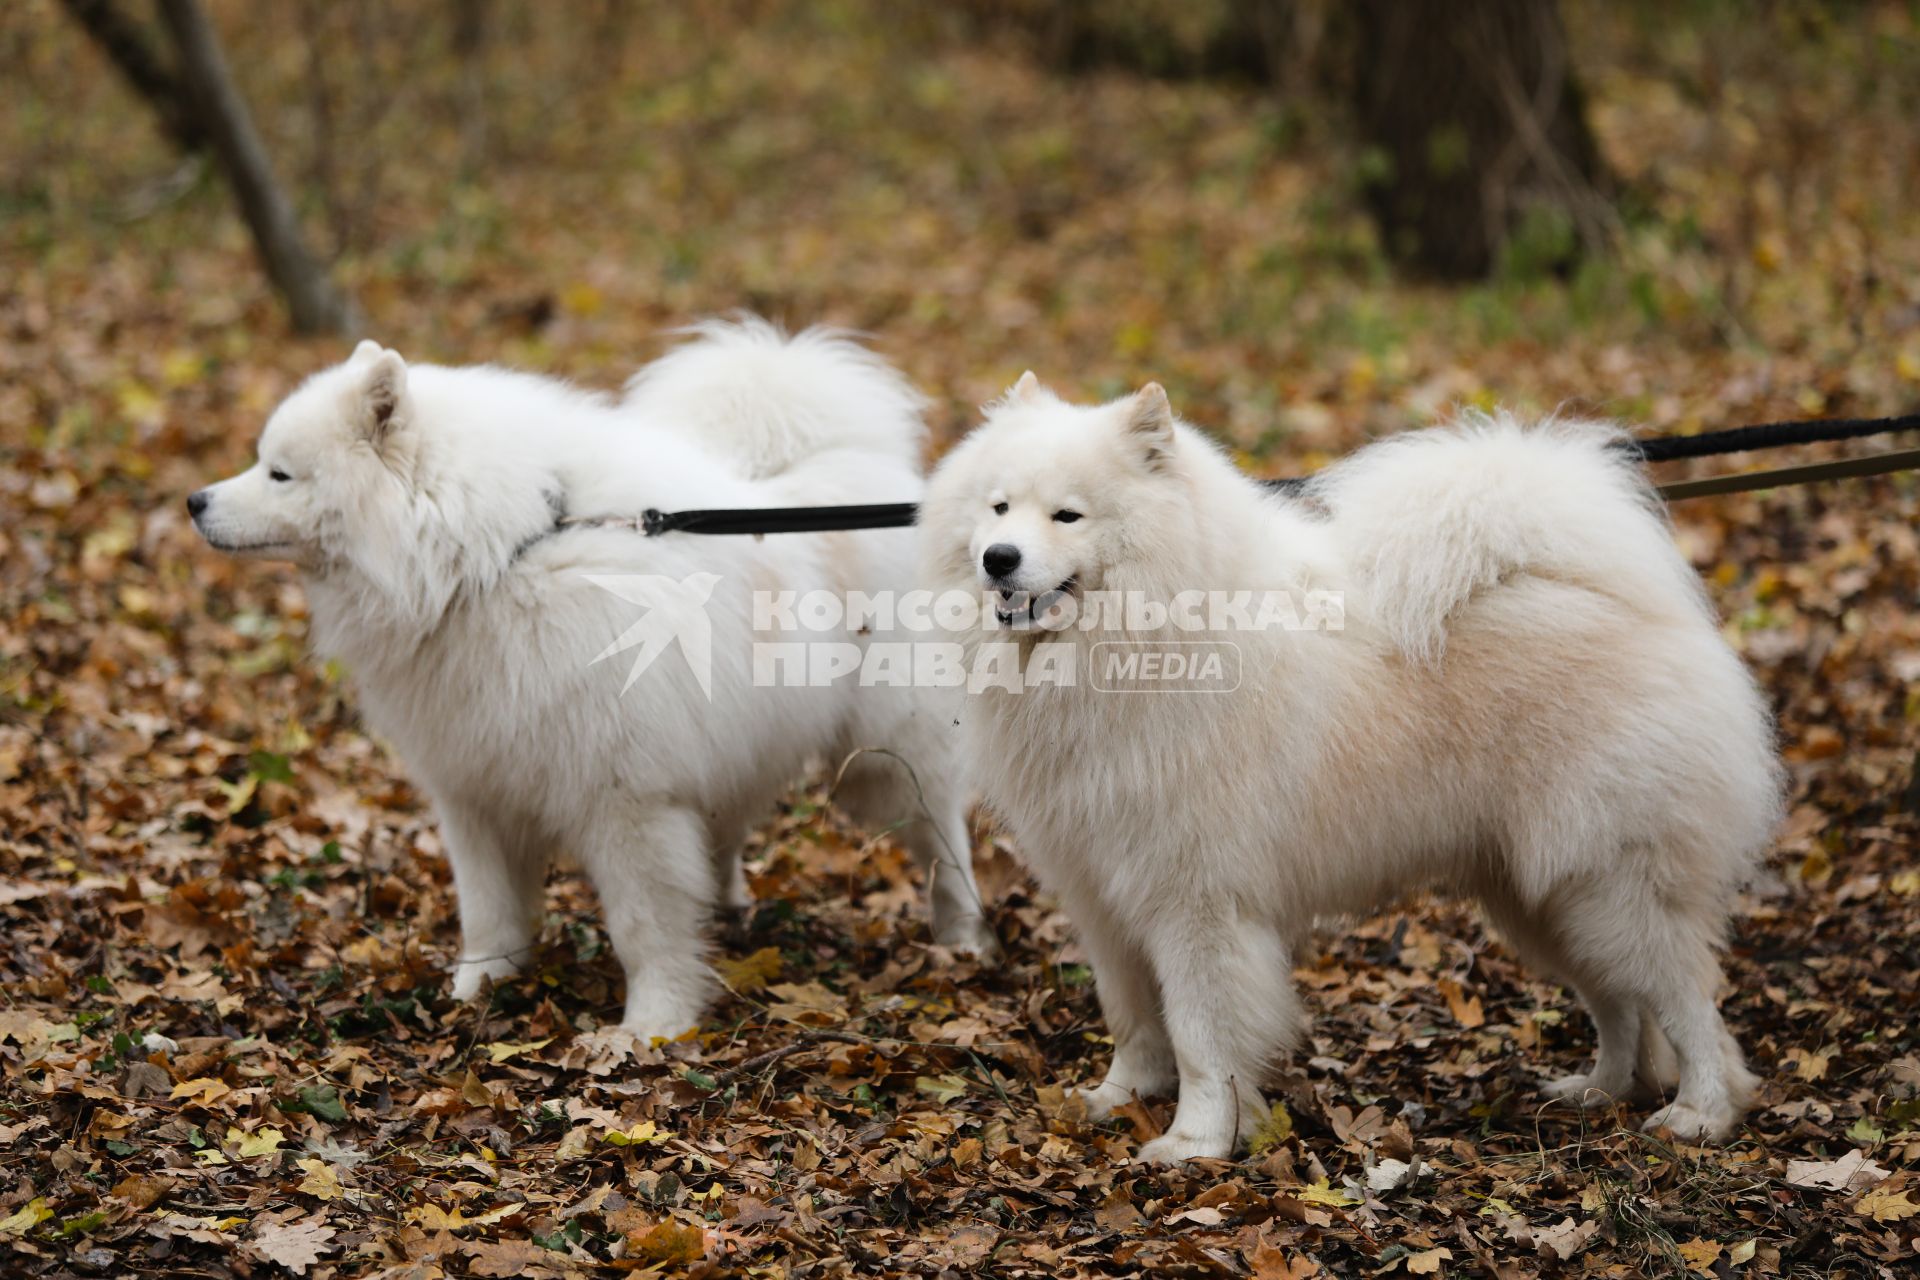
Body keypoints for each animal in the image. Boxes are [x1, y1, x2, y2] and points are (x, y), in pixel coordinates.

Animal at [192, 320, 998, 1043]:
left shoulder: (626, 800)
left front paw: (652, 1027)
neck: (496, 559)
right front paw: (479, 987)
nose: (196, 500)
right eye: (262, 462)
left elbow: (644, 926)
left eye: (279, 473)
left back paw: (963, 939)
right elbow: (489, 910)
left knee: (943, 843)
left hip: (886, 759)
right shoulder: (475, 788)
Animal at [917, 376, 1781, 1166]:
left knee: (1688, 1002)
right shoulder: (1103, 894)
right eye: (998, 508)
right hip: (1545, 897)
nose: (999, 558)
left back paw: (1700, 1113)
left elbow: (1200, 1034)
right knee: (1620, 1005)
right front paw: (1117, 1097)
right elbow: (1131, 1017)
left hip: (1611, 882)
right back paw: (1599, 1089)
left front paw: (1196, 1141)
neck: (1127, 649)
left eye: (1067, 515)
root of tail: (1630, 603)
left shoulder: (1197, 905)